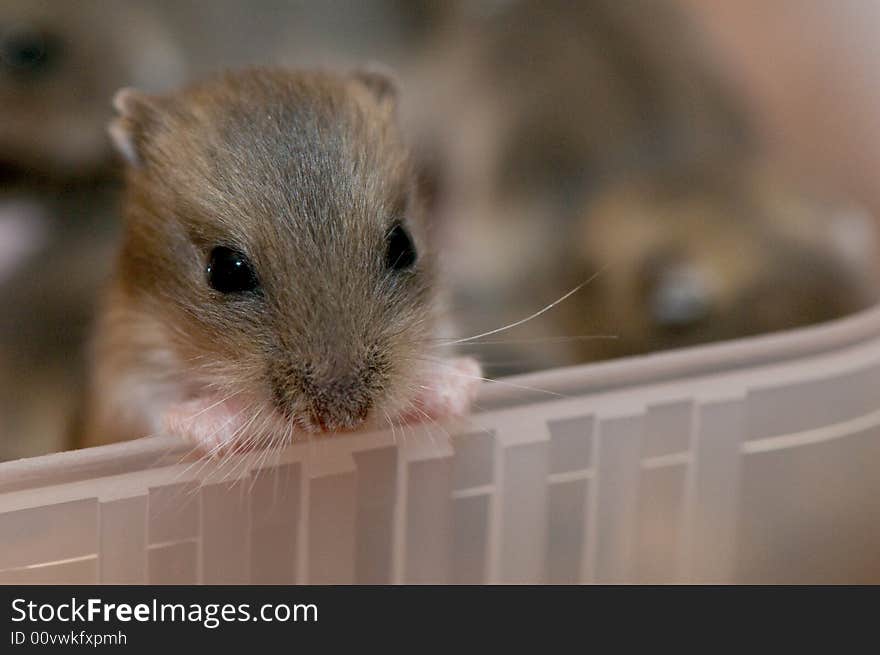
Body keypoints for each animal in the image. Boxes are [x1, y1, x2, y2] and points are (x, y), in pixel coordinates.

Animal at [81, 69, 482, 454]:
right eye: (225, 270)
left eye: (403, 244)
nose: (342, 423)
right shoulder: (124, 379)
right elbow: (162, 411)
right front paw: (221, 427)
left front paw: (461, 380)